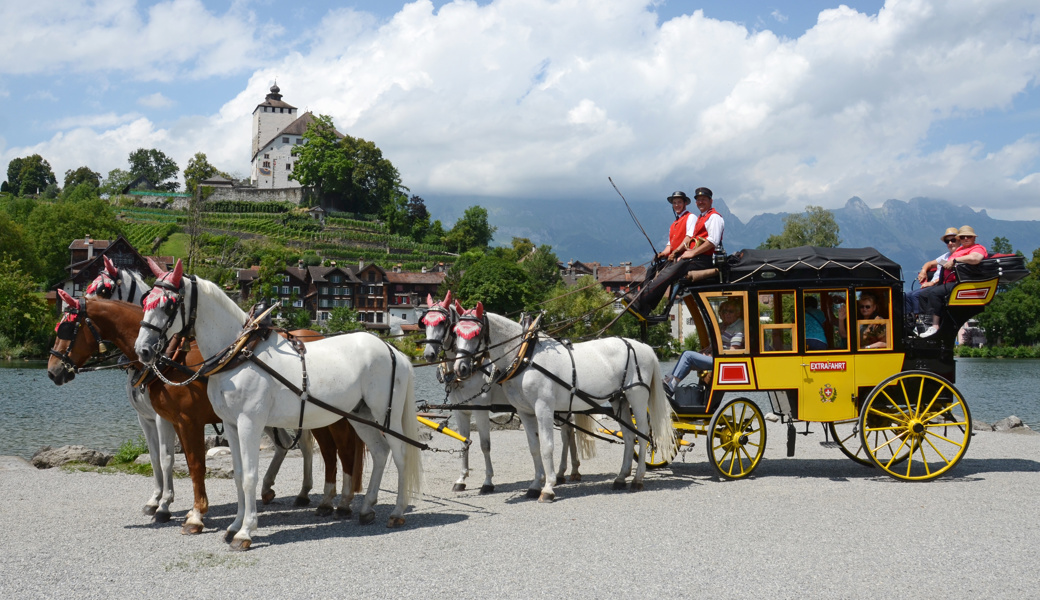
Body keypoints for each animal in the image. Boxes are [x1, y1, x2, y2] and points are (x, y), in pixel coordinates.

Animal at [48, 295, 366, 532]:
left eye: (68, 330)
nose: (53, 371)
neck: (168, 358)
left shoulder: (180, 420)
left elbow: (182, 462)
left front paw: (179, 509)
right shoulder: (152, 418)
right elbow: (157, 459)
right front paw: (158, 502)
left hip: (328, 417)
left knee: (335, 450)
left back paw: (336, 500)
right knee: (296, 446)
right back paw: (294, 493)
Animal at [135, 259, 422, 549]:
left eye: (169, 304)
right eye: (146, 300)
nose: (143, 350)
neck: (239, 354)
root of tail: (393, 349)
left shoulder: (249, 423)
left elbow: (250, 476)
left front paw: (245, 531)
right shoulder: (231, 425)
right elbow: (239, 476)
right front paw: (235, 525)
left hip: (386, 416)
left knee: (400, 454)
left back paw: (397, 511)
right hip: (358, 415)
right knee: (379, 452)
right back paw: (366, 508)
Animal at [418, 293, 590, 492]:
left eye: (443, 322)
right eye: (425, 322)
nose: (429, 354)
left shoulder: (480, 408)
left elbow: (485, 445)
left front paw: (487, 482)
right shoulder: (461, 411)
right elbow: (463, 441)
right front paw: (461, 479)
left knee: (566, 433)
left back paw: (565, 471)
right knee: (568, 432)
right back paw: (569, 471)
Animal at [455, 301, 673, 503]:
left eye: (476, 333)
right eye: (456, 331)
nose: (460, 368)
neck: (525, 356)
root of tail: (644, 346)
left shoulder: (543, 408)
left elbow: (547, 446)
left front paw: (548, 487)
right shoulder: (525, 411)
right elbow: (534, 447)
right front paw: (535, 485)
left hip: (636, 396)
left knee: (643, 435)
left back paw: (638, 478)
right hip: (618, 399)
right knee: (629, 435)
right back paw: (620, 478)